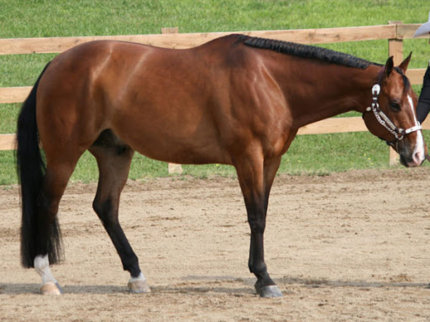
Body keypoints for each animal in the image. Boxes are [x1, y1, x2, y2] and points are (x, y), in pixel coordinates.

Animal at [16, 34, 426, 298]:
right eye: (393, 103)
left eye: (413, 98)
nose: (417, 154)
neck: (272, 81)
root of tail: (55, 63)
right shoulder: (248, 156)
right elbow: (255, 217)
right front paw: (264, 279)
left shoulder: (271, 160)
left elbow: (263, 213)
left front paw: (261, 275)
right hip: (65, 153)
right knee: (47, 203)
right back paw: (47, 278)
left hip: (115, 152)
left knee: (106, 207)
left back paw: (137, 276)